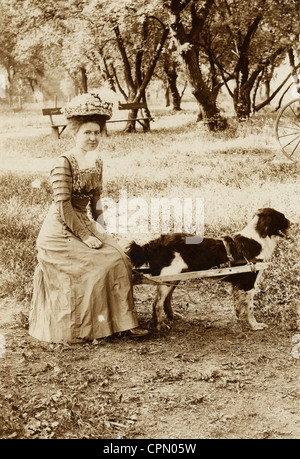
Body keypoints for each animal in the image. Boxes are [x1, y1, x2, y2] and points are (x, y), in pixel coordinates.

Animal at [128, 208, 290, 330]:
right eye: (282, 218)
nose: (293, 223)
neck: (256, 239)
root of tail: (154, 242)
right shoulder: (248, 284)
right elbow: (249, 308)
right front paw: (254, 325)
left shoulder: (238, 285)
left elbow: (239, 306)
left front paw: (240, 321)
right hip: (168, 277)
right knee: (157, 302)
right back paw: (159, 325)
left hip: (174, 278)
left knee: (166, 299)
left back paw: (171, 317)